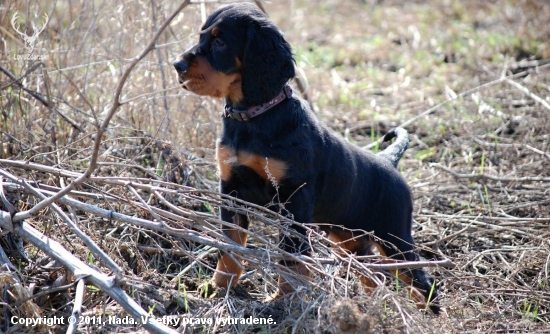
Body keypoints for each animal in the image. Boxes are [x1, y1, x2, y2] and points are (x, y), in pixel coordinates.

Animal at [175, 2, 442, 314]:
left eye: (220, 42)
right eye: (202, 36)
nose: (177, 65)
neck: (255, 117)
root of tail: (388, 161)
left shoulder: (294, 199)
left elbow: (290, 256)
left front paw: (283, 300)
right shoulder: (231, 190)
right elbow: (229, 245)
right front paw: (218, 287)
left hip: (394, 239)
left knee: (422, 283)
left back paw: (429, 317)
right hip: (350, 240)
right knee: (372, 275)